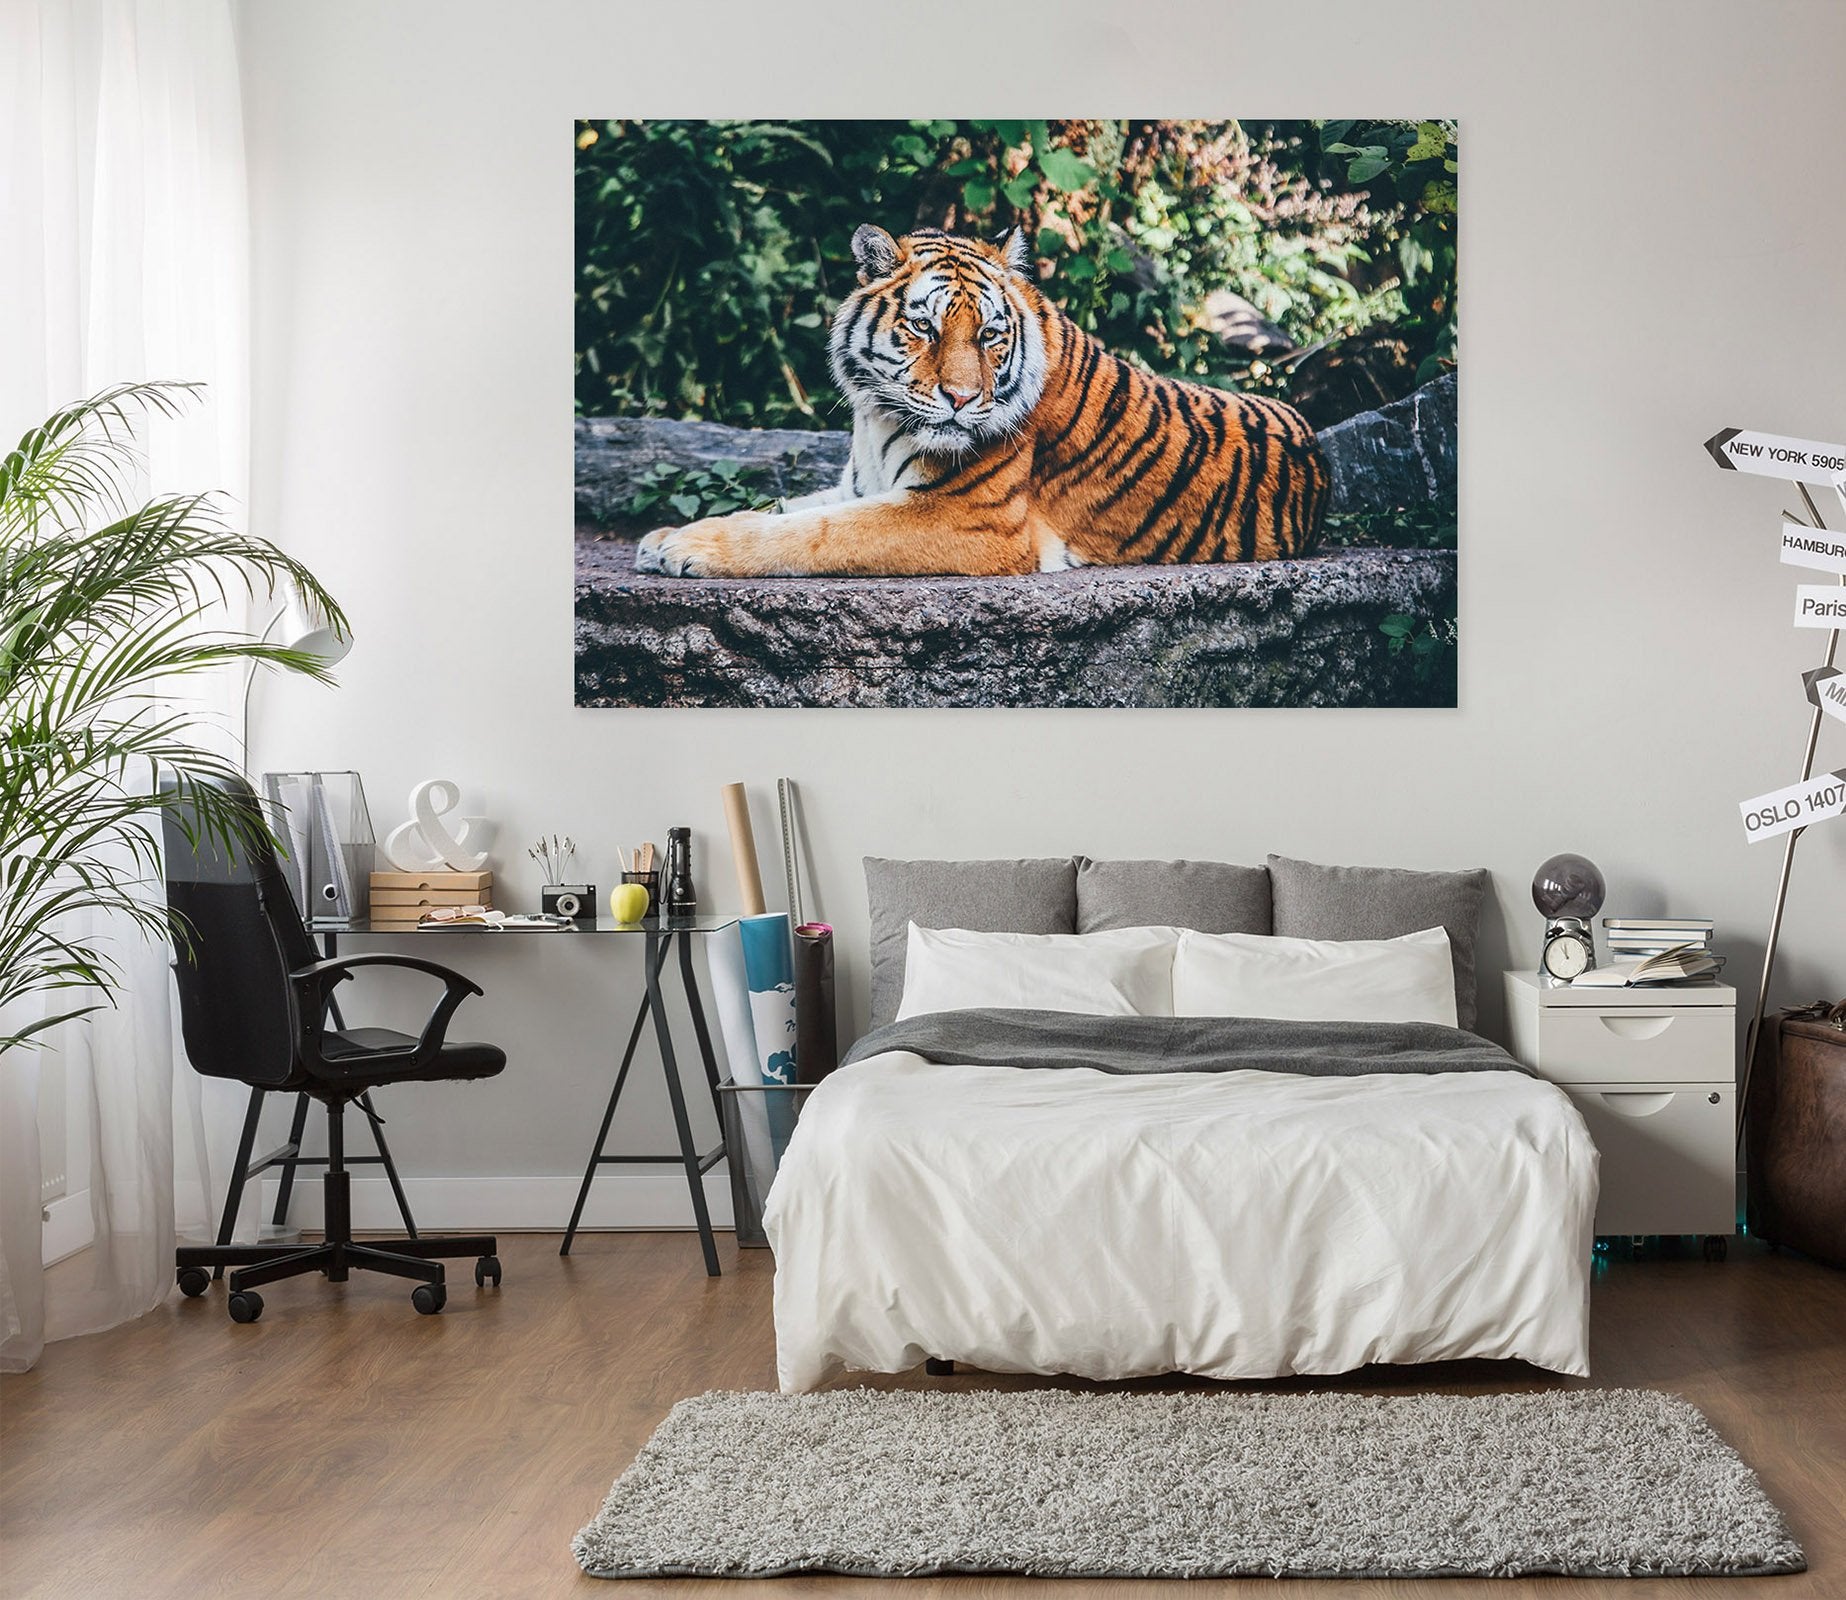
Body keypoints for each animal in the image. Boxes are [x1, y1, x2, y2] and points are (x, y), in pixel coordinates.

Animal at [635, 223, 1327, 579]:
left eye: (990, 335)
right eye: (924, 327)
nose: (964, 399)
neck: (876, 419)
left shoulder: (968, 517)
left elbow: (814, 533)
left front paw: (689, 548)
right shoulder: (861, 485)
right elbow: (785, 508)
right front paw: (665, 535)